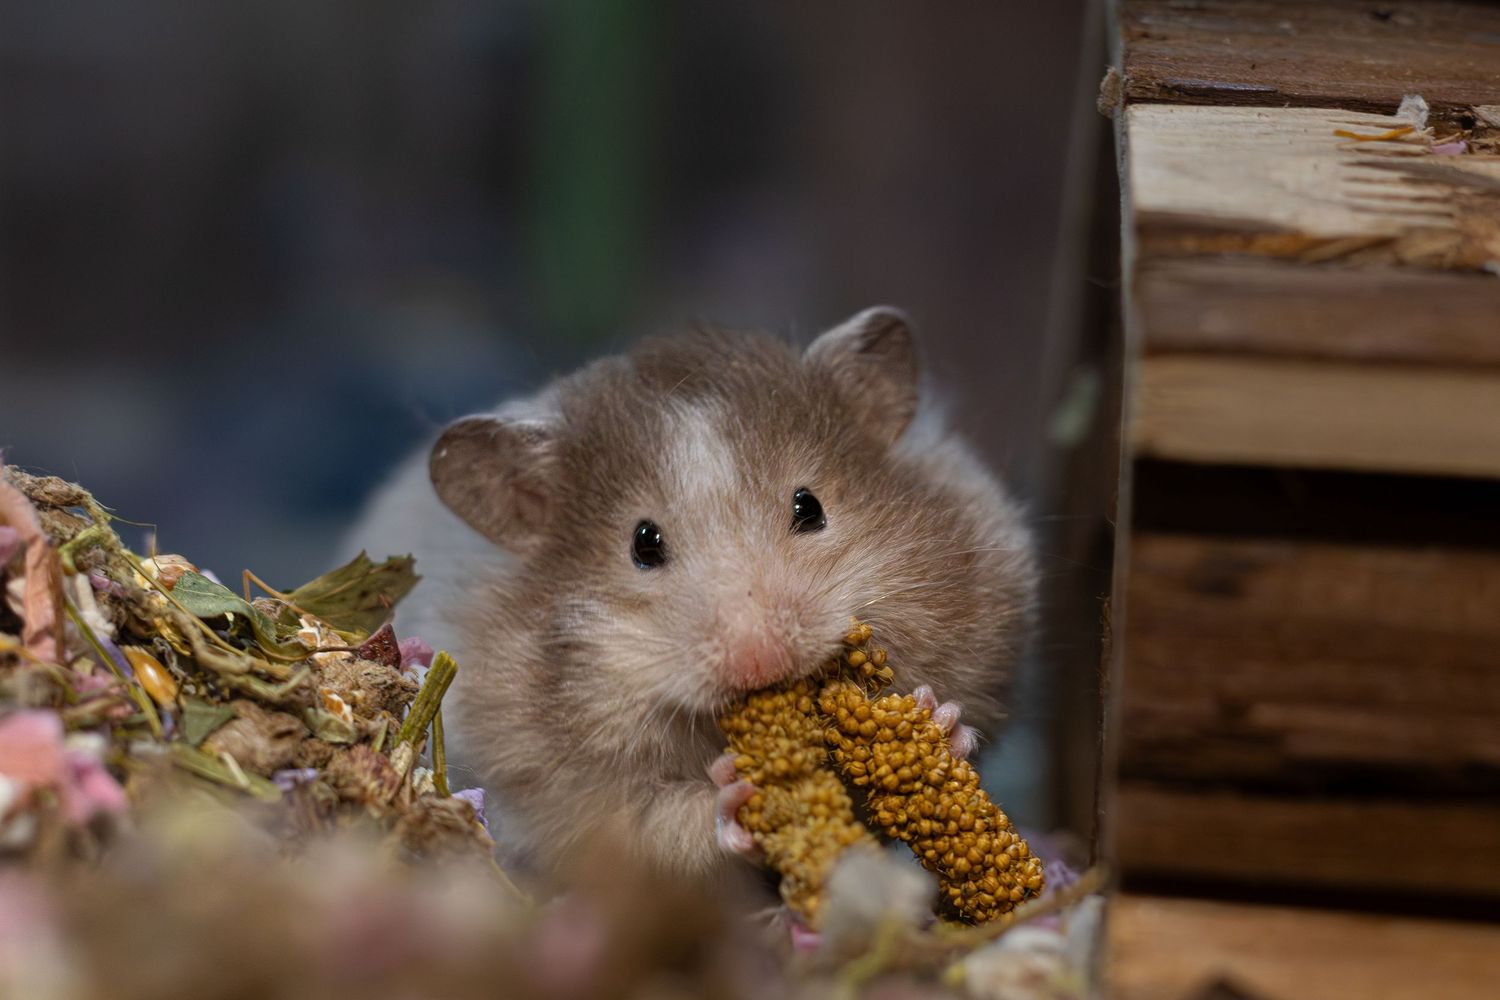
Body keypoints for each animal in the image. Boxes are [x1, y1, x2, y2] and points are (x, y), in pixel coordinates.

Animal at [348, 307, 1036, 887]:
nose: (761, 661)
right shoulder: (564, 796)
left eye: (809, 506)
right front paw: (734, 797)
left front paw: (938, 721)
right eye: (642, 544)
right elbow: (665, 823)